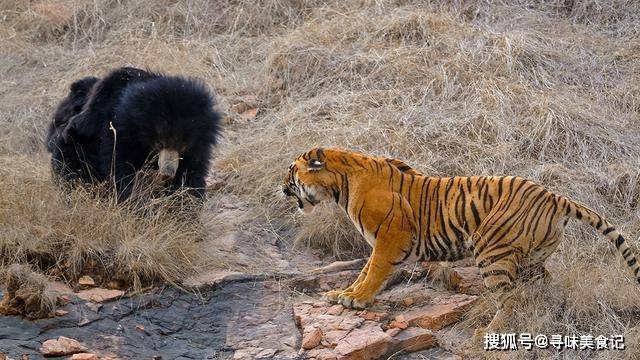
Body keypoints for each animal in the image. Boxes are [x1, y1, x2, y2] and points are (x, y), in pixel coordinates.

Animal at [45, 67, 220, 202]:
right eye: (159, 143)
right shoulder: (117, 132)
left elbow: (192, 172)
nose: (167, 173)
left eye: (182, 145)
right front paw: (139, 201)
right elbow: (122, 169)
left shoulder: (199, 145)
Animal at [282, 146, 640, 334]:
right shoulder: (381, 242)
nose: (282, 188)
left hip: (491, 250)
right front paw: (343, 293)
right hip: (530, 258)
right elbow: (364, 271)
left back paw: (489, 333)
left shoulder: (390, 238)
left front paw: (356, 299)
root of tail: (555, 196)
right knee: (539, 289)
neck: (340, 185)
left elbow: (373, 272)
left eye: (291, 171)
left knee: (509, 298)